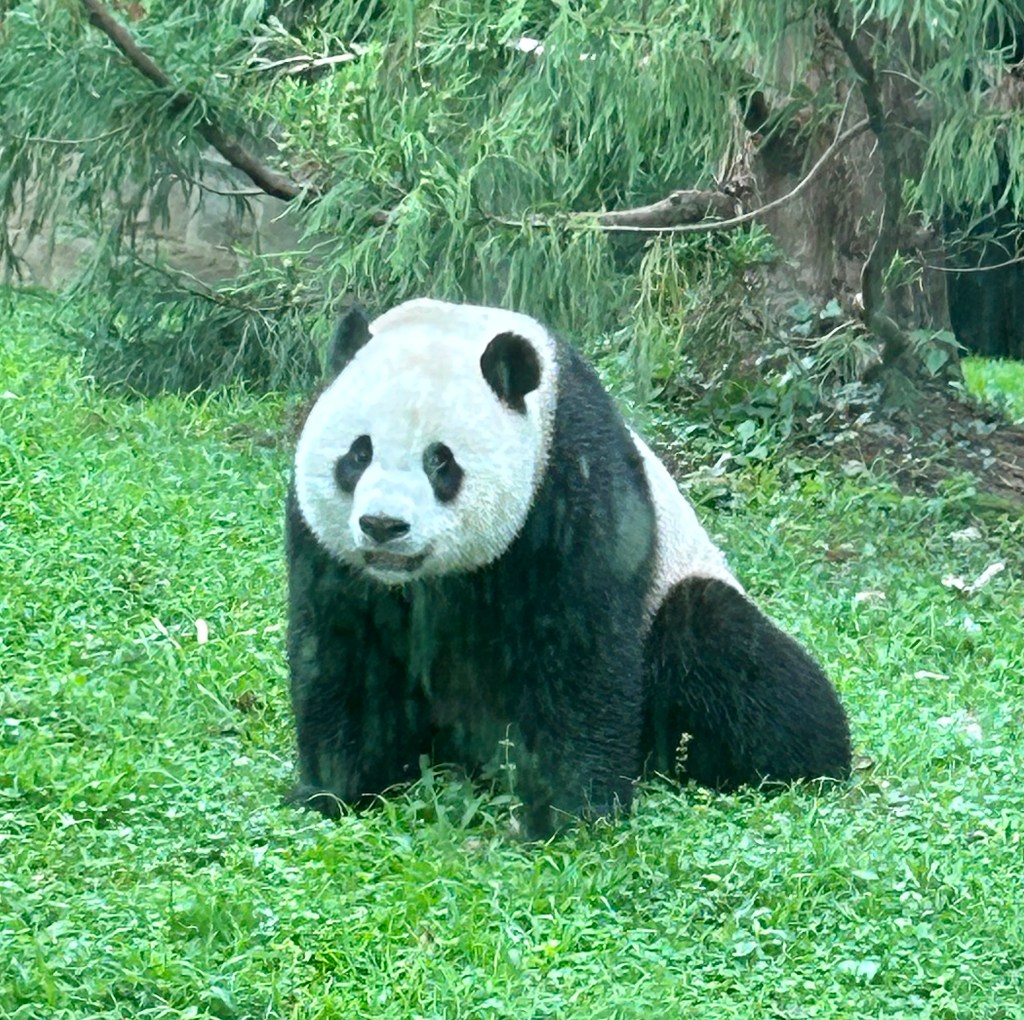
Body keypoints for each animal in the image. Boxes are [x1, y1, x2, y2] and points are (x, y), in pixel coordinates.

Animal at [286, 298, 851, 838]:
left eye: (440, 461)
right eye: (358, 454)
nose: (383, 526)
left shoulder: (571, 476)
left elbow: (581, 649)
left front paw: (568, 814)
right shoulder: (323, 544)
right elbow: (343, 652)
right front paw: (337, 789)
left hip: (681, 590)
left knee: (733, 656)